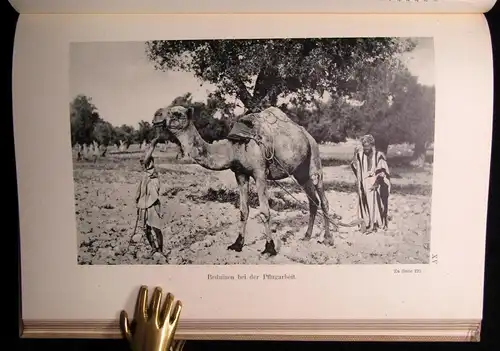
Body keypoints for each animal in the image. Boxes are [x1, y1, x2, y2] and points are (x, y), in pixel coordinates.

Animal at [150, 104, 334, 256]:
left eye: (177, 113)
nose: (156, 115)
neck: (233, 149)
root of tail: (307, 135)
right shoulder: (240, 174)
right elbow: (243, 210)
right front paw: (237, 244)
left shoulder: (260, 172)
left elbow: (265, 211)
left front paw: (270, 248)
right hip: (300, 172)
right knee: (313, 201)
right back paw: (307, 236)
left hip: (314, 160)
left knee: (323, 198)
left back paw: (327, 239)